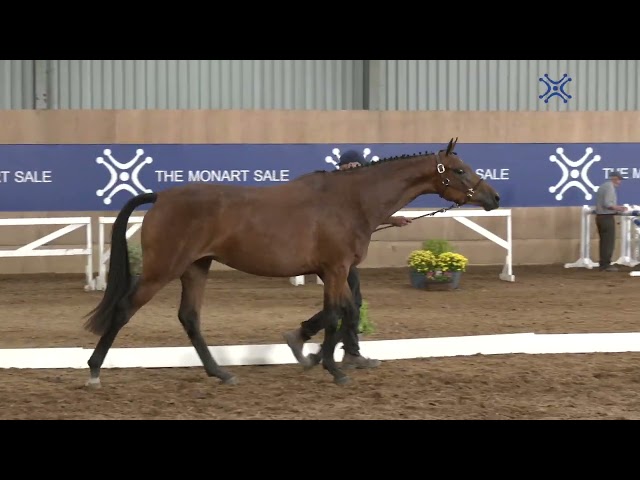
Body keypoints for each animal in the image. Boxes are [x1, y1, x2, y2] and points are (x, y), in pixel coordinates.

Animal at [83, 137, 500, 388]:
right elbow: (335, 313)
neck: (350, 201)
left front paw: (315, 353)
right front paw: (329, 365)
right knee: (124, 309)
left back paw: (221, 373)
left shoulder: (335, 272)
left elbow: (343, 312)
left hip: (196, 268)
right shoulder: (335, 269)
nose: (493, 197)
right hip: (162, 270)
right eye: (460, 170)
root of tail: (162, 197)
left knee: (190, 318)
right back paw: (94, 370)